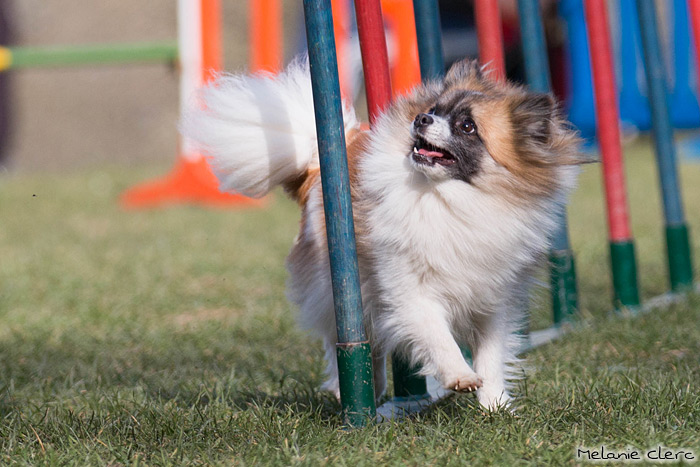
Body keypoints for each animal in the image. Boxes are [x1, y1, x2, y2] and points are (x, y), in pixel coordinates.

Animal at [183, 57, 584, 410]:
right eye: (435, 110)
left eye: (467, 126)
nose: (421, 118)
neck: (449, 200)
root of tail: (316, 163)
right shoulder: (409, 290)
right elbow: (437, 335)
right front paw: (459, 375)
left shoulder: (494, 299)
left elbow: (491, 352)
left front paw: (495, 405)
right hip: (340, 286)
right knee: (349, 339)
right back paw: (354, 391)